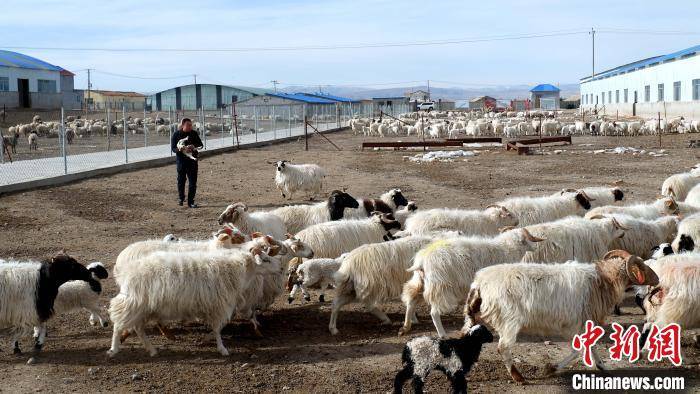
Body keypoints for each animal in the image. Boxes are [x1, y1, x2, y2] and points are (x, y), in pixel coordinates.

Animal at [108, 248, 278, 356]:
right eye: (265, 259)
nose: (280, 268)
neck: (237, 269)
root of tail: (127, 273)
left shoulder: (216, 306)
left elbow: (217, 328)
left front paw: (209, 340)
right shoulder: (219, 306)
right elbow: (218, 329)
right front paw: (222, 349)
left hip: (144, 308)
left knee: (138, 328)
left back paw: (151, 350)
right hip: (133, 303)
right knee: (118, 324)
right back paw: (114, 349)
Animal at [400, 229, 548, 338]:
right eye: (528, 238)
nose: (536, 247)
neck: (507, 249)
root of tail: (422, 260)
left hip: (420, 282)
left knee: (411, 300)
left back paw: (406, 327)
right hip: (440, 287)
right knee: (434, 312)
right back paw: (443, 334)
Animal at [464, 251, 656, 384]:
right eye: (642, 267)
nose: (657, 279)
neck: (603, 281)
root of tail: (479, 283)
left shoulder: (583, 323)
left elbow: (590, 345)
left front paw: (602, 367)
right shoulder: (574, 324)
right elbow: (579, 349)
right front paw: (551, 369)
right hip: (509, 321)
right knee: (503, 348)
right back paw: (518, 377)